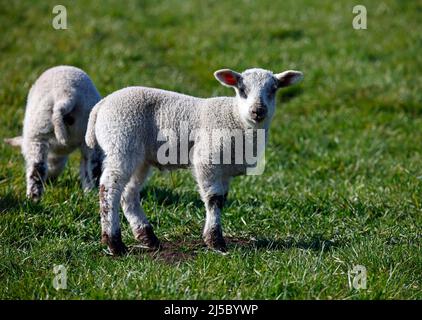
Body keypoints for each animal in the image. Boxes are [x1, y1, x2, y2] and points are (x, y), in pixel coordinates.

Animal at [6, 65, 103, 201]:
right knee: (93, 169)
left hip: (37, 132)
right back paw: (91, 196)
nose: (50, 181)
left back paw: (32, 198)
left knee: (37, 168)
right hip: (88, 136)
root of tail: (66, 95)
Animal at [85, 67, 304, 255]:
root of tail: (101, 105)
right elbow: (214, 199)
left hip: (140, 157)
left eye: (273, 89)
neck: (235, 117)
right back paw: (114, 244)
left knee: (129, 193)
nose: (258, 111)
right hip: (121, 143)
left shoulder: (225, 169)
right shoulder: (207, 159)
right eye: (242, 90)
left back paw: (148, 237)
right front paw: (215, 241)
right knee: (109, 188)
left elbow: (222, 199)